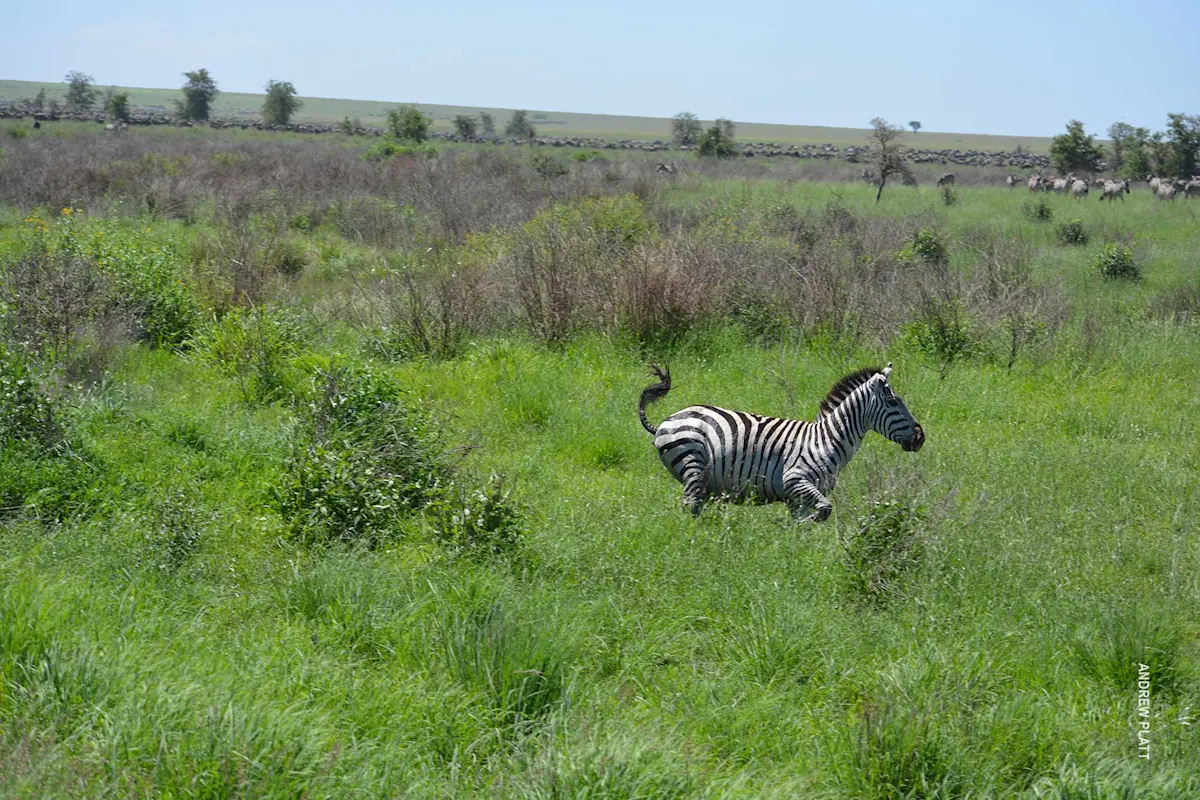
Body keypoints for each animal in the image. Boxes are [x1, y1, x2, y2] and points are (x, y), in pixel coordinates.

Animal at [638, 363, 925, 522]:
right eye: (893, 402)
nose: (920, 437)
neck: (827, 439)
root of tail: (666, 421)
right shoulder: (795, 480)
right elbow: (825, 510)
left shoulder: (797, 499)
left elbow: (809, 523)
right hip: (693, 462)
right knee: (689, 505)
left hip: (702, 478)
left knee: (694, 505)